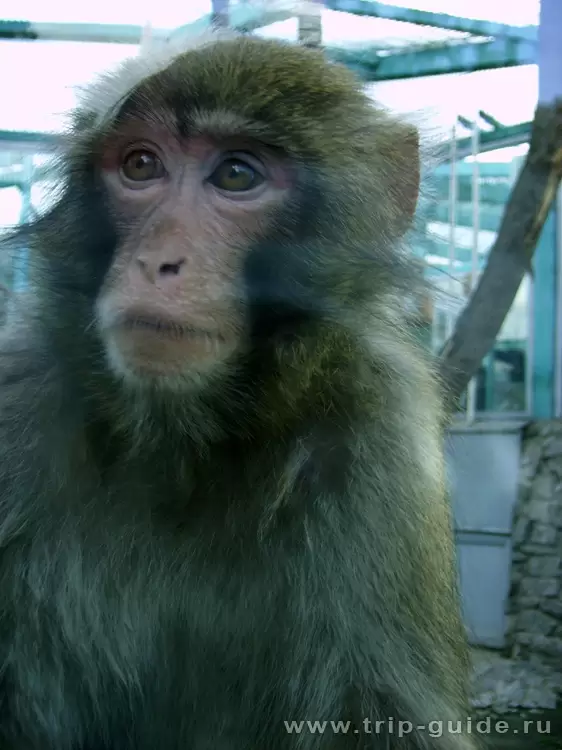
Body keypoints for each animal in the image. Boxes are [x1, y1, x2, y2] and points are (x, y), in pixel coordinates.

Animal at [0, 32, 477, 750]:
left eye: (235, 176)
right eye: (140, 165)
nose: (158, 261)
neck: (183, 446)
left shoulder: (384, 437)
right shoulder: (19, 397)